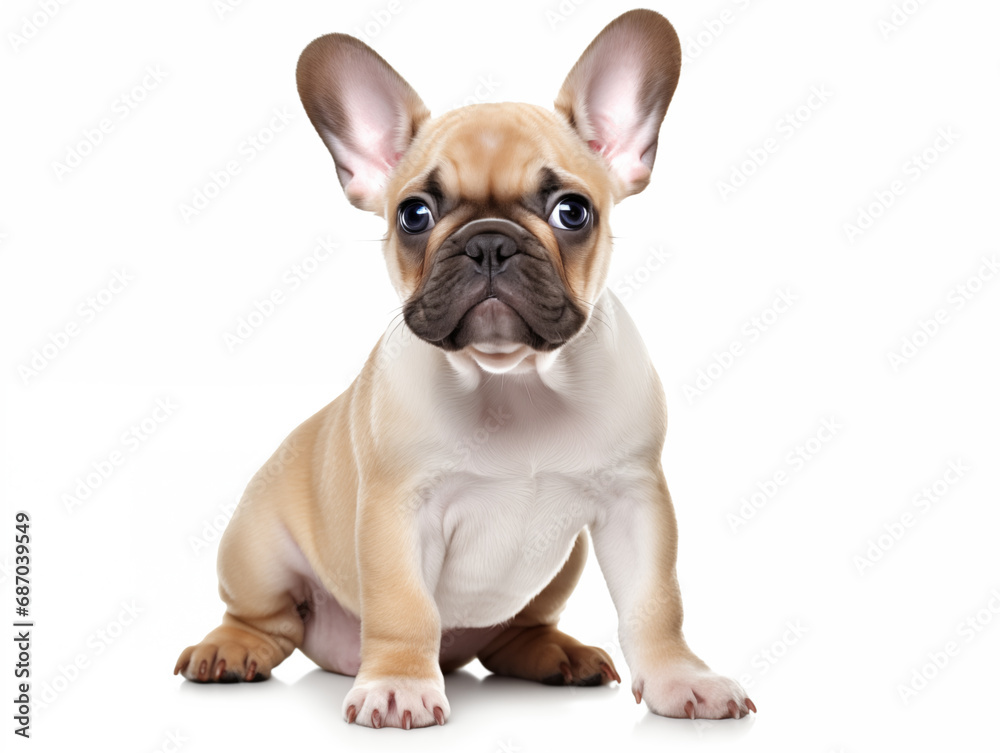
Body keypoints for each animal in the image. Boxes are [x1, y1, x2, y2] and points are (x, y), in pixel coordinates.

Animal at [178, 8, 756, 724]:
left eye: (572, 212)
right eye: (414, 215)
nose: (488, 242)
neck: (516, 380)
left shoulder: (635, 501)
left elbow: (656, 601)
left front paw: (683, 679)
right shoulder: (399, 511)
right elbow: (404, 606)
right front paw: (399, 683)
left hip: (559, 570)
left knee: (516, 632)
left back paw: (556, 654)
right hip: (255, 548)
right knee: (266, 617)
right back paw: (230, 649)